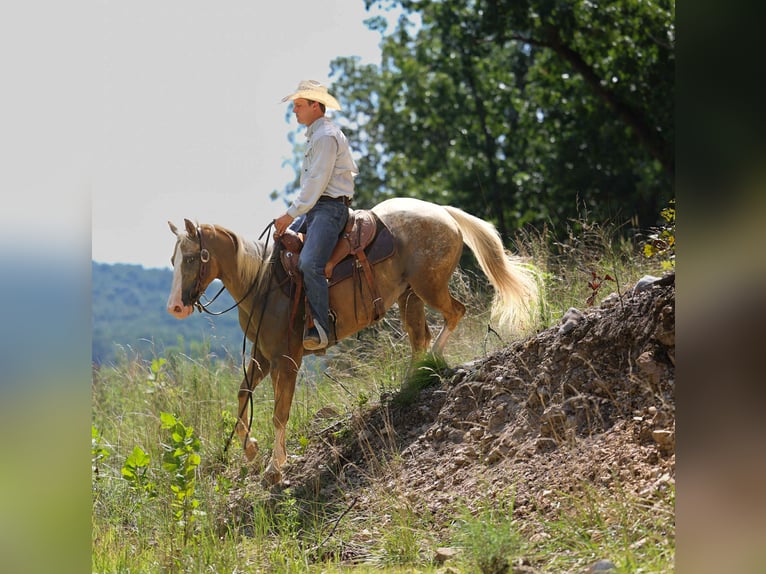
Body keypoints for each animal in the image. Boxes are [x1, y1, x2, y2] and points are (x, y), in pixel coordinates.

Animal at [166, 197, 539, 485]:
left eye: (191, 258)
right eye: (173, 259)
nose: (175, 307)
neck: (261, 282)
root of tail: (442, 211)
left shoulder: (287, 360)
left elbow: (279, 413)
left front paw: (274, 468)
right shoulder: (263, 355)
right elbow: (243, 393)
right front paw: (251, 449)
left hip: (428, 287)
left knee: (453, 315)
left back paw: (431, 363)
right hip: (410, 296)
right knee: (420, 336)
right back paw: (413, 380)